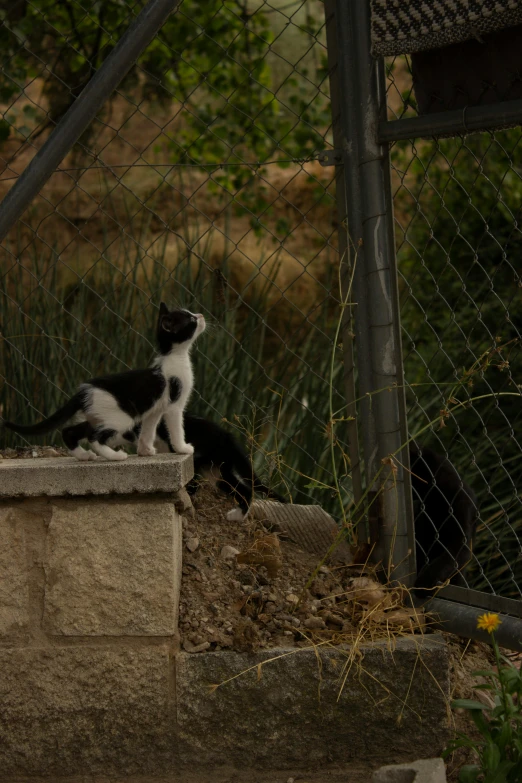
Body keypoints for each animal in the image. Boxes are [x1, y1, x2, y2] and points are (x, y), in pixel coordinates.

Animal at [3, 304, 204, 462]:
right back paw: (115, 456)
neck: (173, 356)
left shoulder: (154, 410)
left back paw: (84, 456)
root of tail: (84, 391)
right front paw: (183, 448)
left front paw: (145, 450)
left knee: (69, 431)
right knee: (94, 438)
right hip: (121, 417)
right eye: (190, 319)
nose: (201, 315)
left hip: (96, 415)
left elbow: (148, 430)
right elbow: (177, 429)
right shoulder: (174, 405)